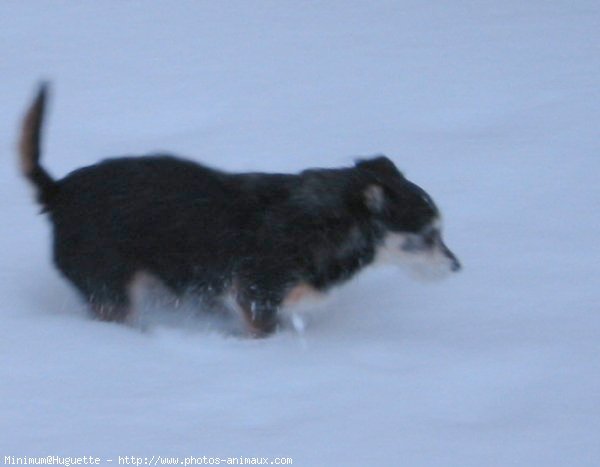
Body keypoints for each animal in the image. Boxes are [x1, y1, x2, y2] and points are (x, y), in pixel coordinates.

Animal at [17, 85, 460, 336]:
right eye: (428, 236)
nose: (458, 267)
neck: (330, 222)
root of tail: (58, 192)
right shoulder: (257, 298)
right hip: (113, 290)